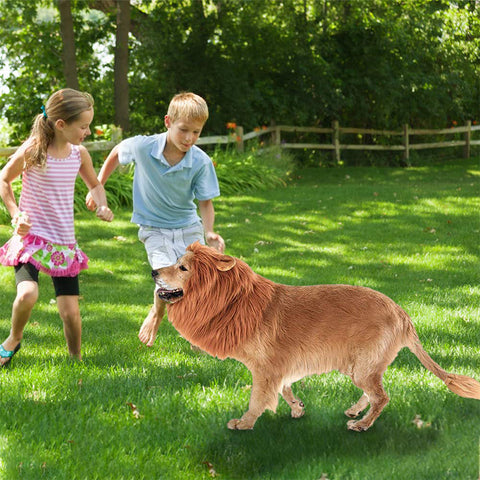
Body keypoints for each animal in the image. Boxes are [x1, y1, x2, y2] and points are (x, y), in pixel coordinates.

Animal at [153, 242, 480, 434]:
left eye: (182, 267)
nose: (154, 272)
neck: (236, 299)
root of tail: (402, 313)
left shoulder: (265, 369)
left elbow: (258, 399)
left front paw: (244, 423)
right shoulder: (281, 366)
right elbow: (286, 389)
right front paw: (297, 408)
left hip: (362, 367)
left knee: (382, 397)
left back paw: (362, 423)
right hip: (360, 366)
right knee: (373, 392)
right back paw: (355, 410)